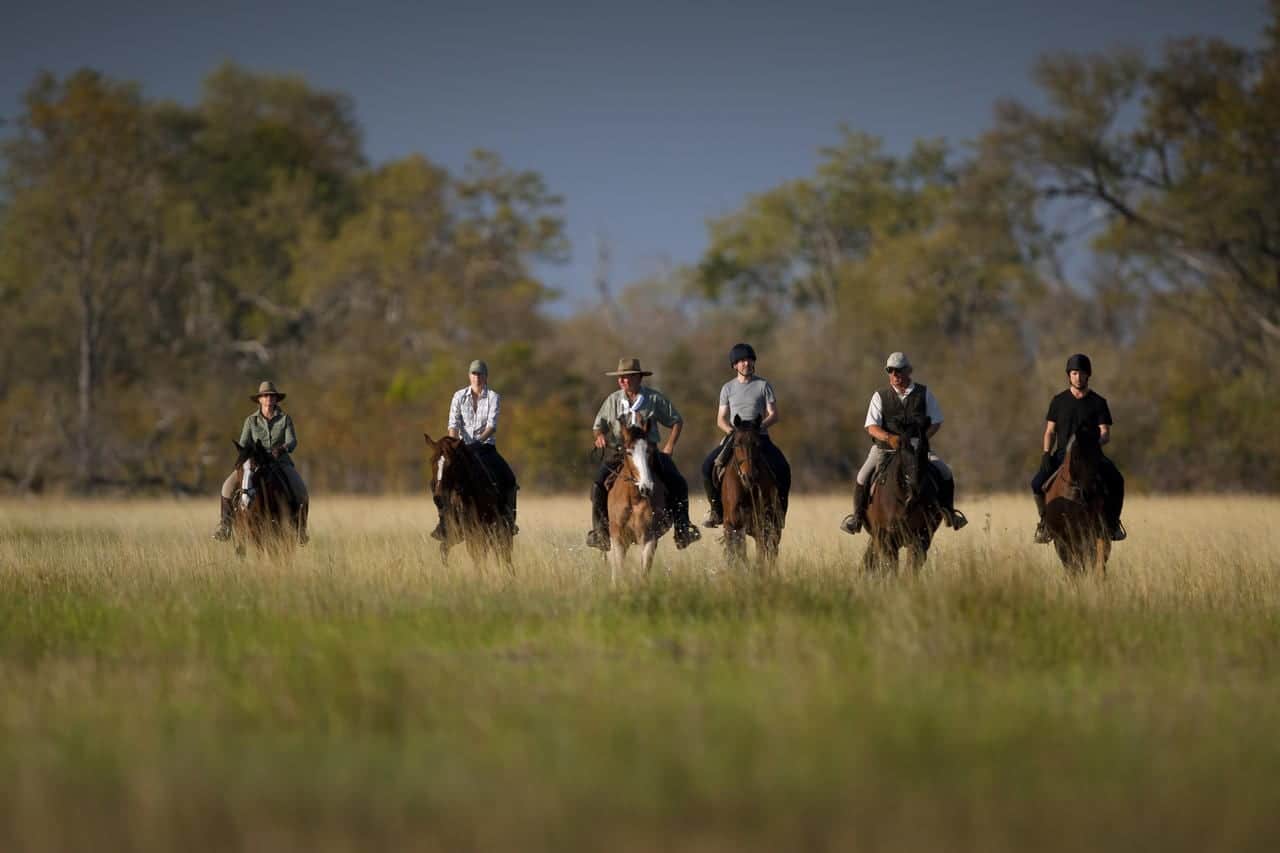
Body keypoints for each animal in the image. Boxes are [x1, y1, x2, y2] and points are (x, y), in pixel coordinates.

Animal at [424, 432, 514, 571]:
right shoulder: (459, 531)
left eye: (451, 464)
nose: (439, 498)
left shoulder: (480, 530)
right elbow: (445, 550)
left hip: (502, 529)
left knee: (504, 553)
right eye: (431, 461)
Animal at [606, 412, 675, 584]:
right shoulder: (618, 538)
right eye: (629, 452)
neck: (633, 498)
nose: (646, 487)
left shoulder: (649, 537)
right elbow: (619, 570)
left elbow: (644, 571)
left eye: (649, 450)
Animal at [716, 412, 783, 571]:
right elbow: (736, 554)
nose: (749, 476)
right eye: (736, 444)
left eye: (757, 444)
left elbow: (759, 556)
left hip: (774, 526)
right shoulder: (731, 526)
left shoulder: (760, 526)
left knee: (772, 551)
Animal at [860, 417, 942, 571]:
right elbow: (891, 567)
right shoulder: (887, 539)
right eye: (903, 447)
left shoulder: (920, 538)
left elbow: (911, 568)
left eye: (924, 447)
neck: (905, 498)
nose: (915, 484)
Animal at [1039, 422, 1111, 573]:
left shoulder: (1087, 534)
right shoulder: (1061, 538)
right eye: (1076, 458)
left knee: (1098, 562)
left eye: (1097, 457)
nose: (1088, 492)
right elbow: (1072, 566)